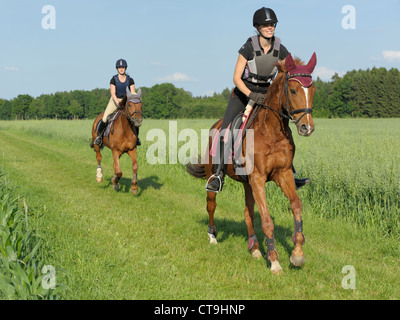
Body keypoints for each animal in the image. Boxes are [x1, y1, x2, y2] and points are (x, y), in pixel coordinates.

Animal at [187, 53, 316, 276]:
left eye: (313, 89)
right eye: (293, 90)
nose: (307, 127)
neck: (272, 131)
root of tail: (215, 126)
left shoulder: (283, 175)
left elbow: (296, 206)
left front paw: (297, 253)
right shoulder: (258, 179)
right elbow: (266, 219)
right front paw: (274, 261)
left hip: (247, 183)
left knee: (248, 213)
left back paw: (255, 248)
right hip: (218, 175)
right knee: (211, 205)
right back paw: (213, 236)